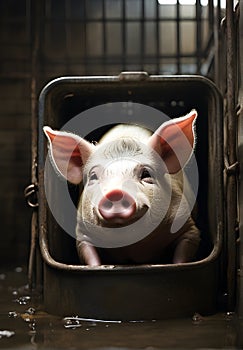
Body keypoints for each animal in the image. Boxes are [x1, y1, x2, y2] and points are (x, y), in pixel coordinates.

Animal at [43, 109, 199, 266]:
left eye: (146, 174)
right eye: (93, 176)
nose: (115, 192)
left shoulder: (188, 225)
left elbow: (182, 256)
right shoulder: (82, 233)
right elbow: (91, 257)